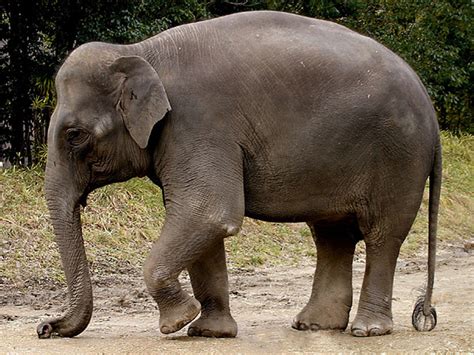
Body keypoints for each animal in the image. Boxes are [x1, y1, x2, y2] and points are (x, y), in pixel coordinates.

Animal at [37, 10, 440, 340]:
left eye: (75, 135)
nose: (45, 327)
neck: (142, 52)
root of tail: (429, 106)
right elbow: (201, 221)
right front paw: (208, 332)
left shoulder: (198, 125)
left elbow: (208, 212)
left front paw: (177, 322)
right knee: (332, 236)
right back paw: (314, 325)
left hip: (399, 156)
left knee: (382, 235)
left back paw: (367, 330)